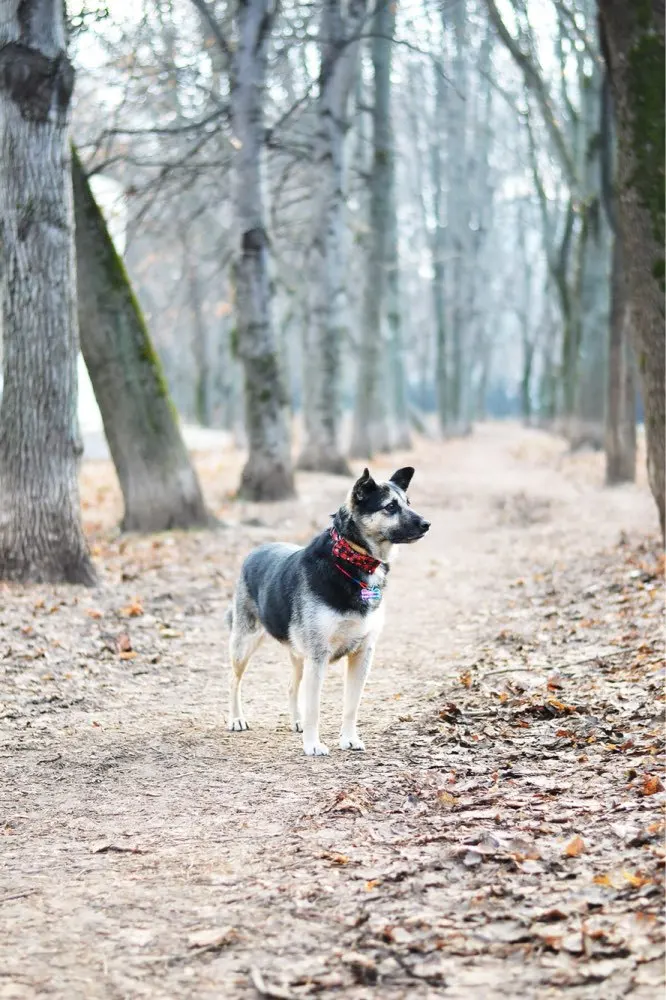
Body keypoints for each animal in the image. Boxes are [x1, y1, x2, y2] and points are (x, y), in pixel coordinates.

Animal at [226, 464, 428, 752]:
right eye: (390, 507)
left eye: (408, 503)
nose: (427, 524)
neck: (350, 558)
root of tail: (254, 551)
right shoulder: (318, 656)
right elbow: (314, 708)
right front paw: (312, 745)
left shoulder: (363, 653)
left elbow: (352, 705)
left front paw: (349, 738)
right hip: (245, 644)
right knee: (234, 681)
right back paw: (236, 719)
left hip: (298, 654)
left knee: (291, 686)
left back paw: (296, 721)